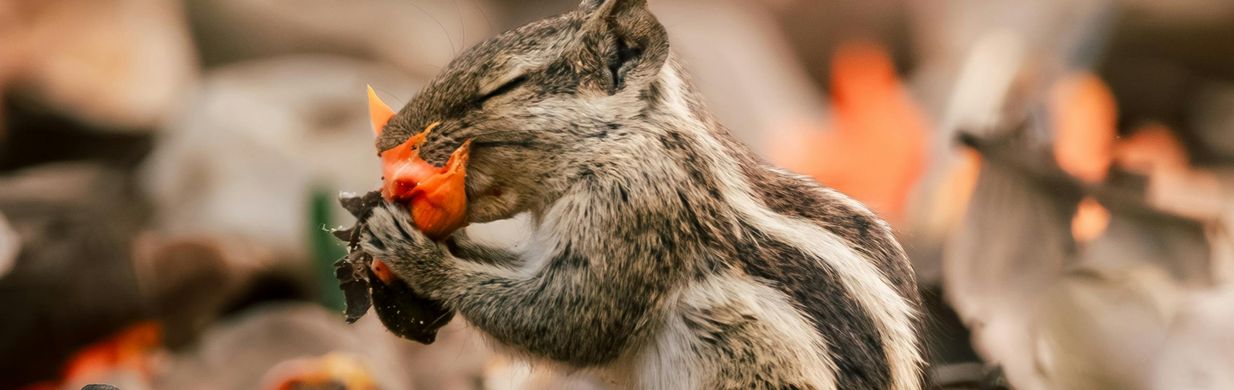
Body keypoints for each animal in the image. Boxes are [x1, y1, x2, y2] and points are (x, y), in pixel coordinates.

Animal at [352, 1, 923, 387]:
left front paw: (412, 251)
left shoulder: (638, 211)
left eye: (503, 87)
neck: (627, 140)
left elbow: (566, 319)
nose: (383, 143)